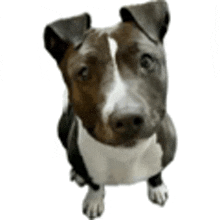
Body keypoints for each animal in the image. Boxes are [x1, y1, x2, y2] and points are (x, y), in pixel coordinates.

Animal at [43, 0, 176, 219]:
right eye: (84, 72)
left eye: (146, 60)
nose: (128, 118)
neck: (125, 155)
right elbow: (95, 184)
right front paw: (94, 199)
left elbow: (156, 172)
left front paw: (157, 187)